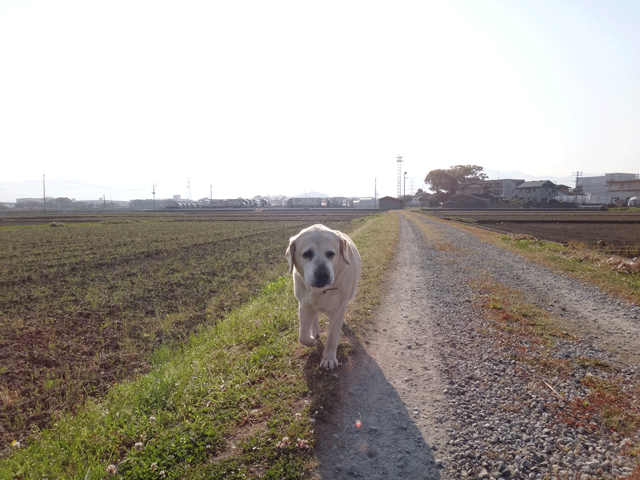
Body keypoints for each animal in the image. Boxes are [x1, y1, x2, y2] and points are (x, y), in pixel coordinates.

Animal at [284, 224, 360, 368]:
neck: (321, 291)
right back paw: (315, 331)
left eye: (331, 254)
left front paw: (329, 358)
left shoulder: (339, 308)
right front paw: (312, 341)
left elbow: (332, 337)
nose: (322, 275)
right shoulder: (304, 305)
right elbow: (302, 336)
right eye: (306, 254)